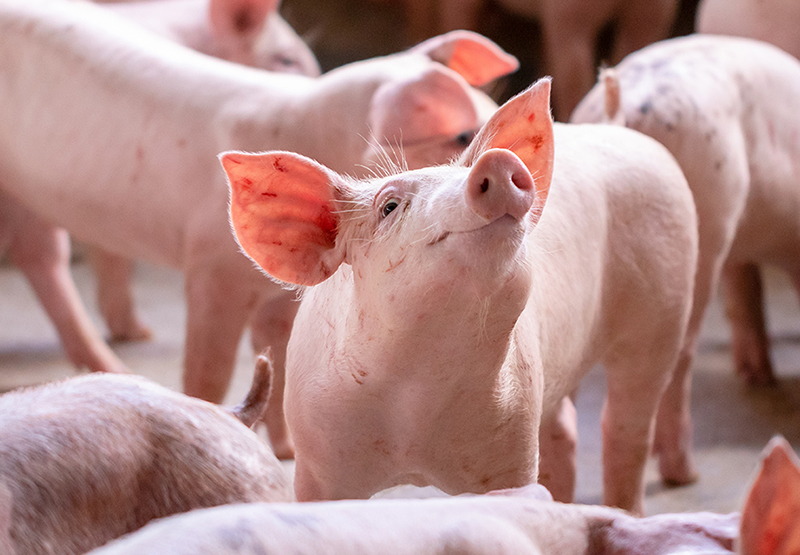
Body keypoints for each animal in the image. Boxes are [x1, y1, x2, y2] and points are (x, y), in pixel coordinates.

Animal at [0, 0, 516, 458]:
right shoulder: (211, 268)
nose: (512, 169)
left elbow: (283, 360)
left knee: (39, 255)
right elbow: (210, 367)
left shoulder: (282, 294)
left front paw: (287, 452)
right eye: (461, 135)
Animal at [222, 78, 698, 514]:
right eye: (389, 207)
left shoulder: (512, 441)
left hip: (665, 307)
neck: (414, 400)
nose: (498, 160)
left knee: (626, 427)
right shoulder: (317, 462)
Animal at [571, 34, 800, 486]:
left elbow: (745, 291)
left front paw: (758, 375)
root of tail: (622, 105)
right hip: (704, 226)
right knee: (681, 356)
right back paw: (685, 473)